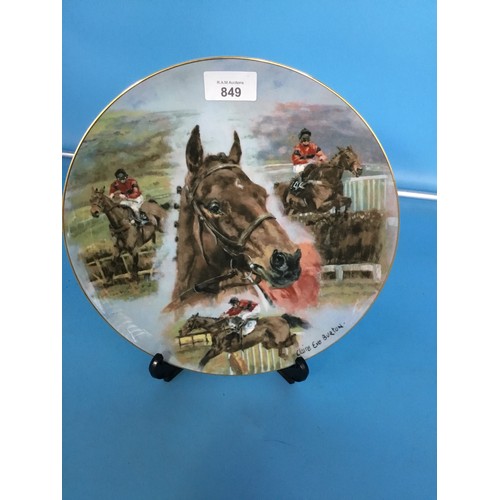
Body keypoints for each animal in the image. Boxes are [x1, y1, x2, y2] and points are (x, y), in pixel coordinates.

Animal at [178, 313, 310, 370]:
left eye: (189, 323)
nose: (180, 331)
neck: (219, 329)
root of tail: (282, 318)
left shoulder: (217, 350)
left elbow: (203, 361)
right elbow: (203, 361)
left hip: (278, 340)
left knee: (292, 340)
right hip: (268, 343)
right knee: (290, 341)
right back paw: (291, 356)